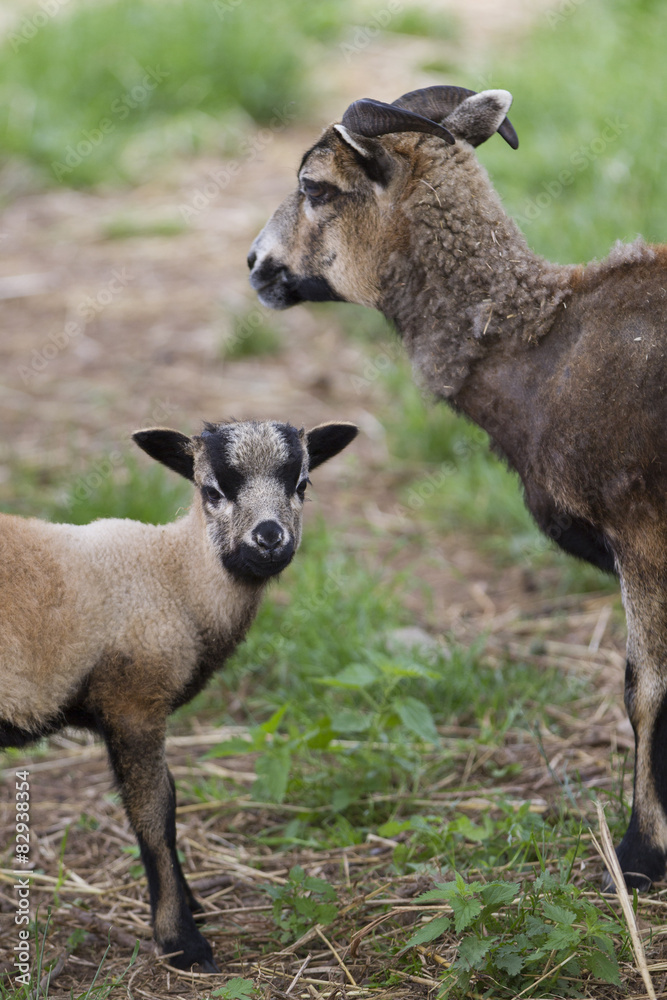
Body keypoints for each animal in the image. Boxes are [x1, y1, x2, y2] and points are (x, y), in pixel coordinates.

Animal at [248, 86, 667, 892]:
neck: (543, 346)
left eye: (315, 186)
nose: (255, 265)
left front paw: (639, 859)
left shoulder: (644, 536)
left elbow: (645, 690)